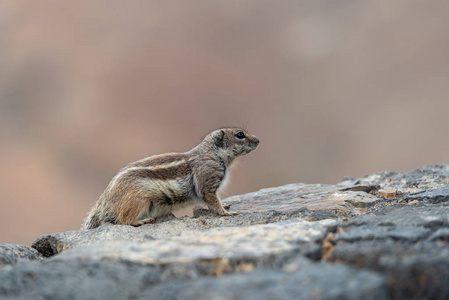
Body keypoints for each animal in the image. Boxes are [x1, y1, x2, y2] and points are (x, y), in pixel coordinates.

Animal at [81, 127, 260, 230]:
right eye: (240, 135)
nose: (258, 140)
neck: (211, 153)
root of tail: (104, 199)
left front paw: (226, 206)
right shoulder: (207, 181)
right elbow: (212, 200)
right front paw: (226, 212)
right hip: (137, 200)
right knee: (122, 219)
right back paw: (140, 221)